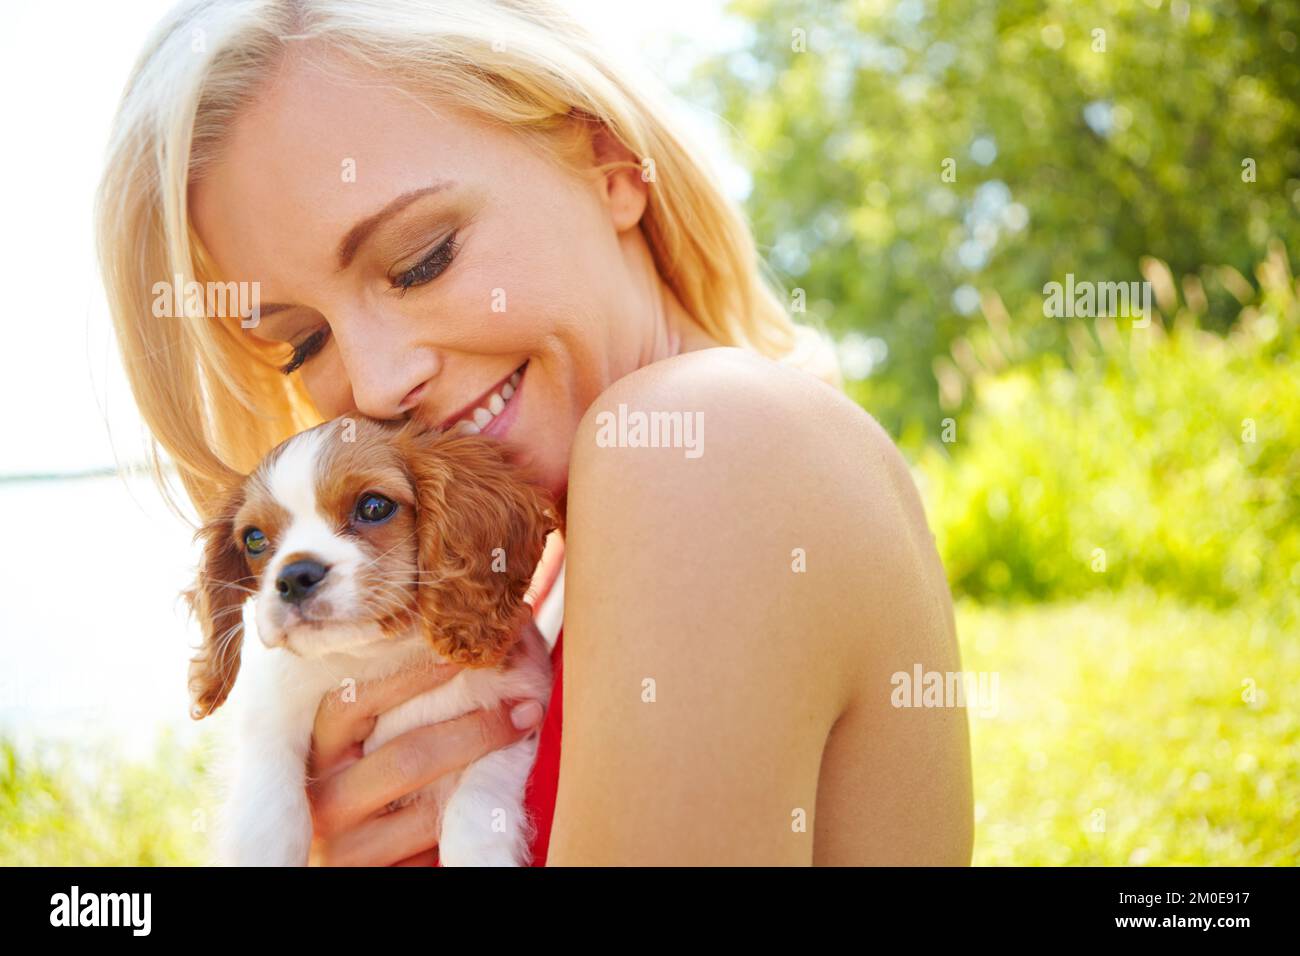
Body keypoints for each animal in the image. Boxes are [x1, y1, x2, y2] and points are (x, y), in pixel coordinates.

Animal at [183, 416, 553, 868]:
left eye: (374, 507)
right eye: (254, 539)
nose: (294, 576)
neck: (375, 656)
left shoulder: (521, 708)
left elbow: (479, 798)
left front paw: (478, 852)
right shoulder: (269, 713)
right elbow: (270, 805)